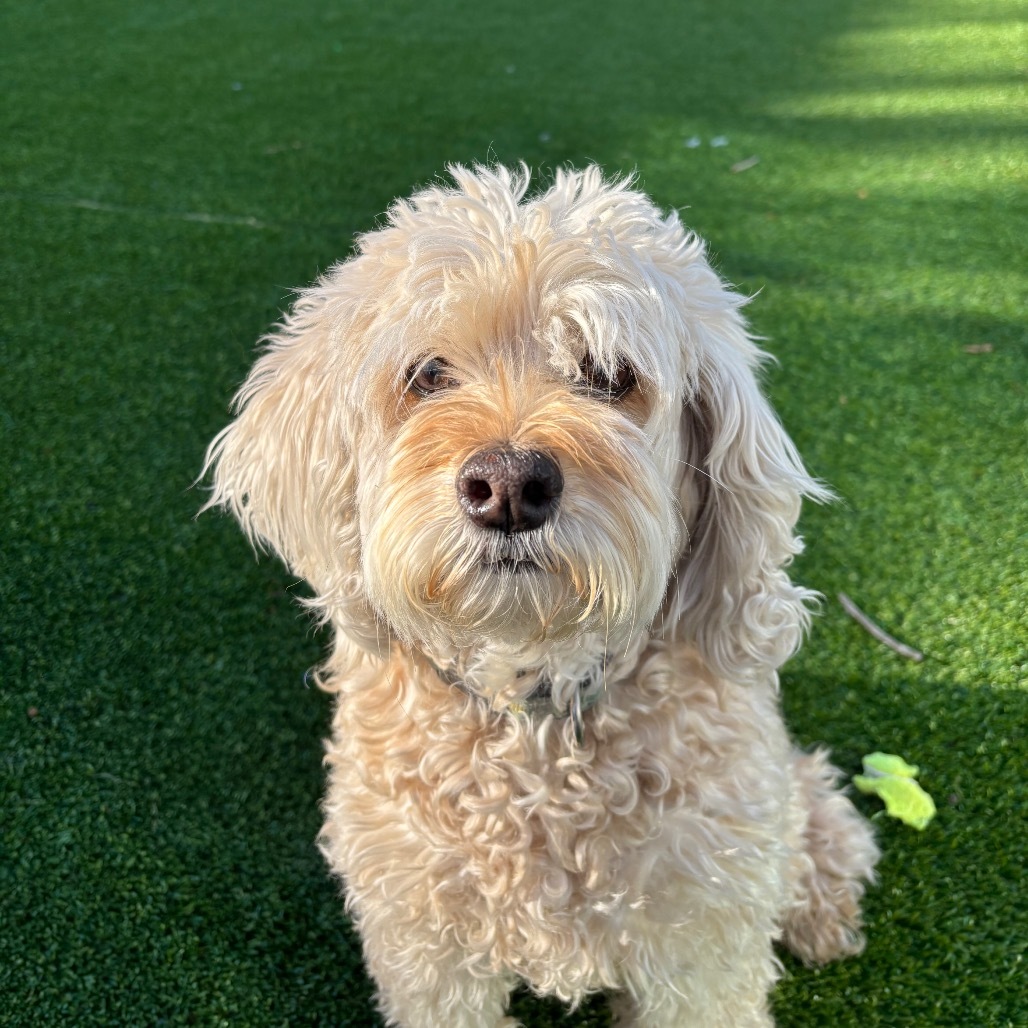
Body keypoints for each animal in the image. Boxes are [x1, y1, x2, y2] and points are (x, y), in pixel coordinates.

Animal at [204, 164, 879, 1023]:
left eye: (609, 375)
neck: (535, 713)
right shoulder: (430, 958)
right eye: (428, 374)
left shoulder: (700, 951)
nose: (508, 487)